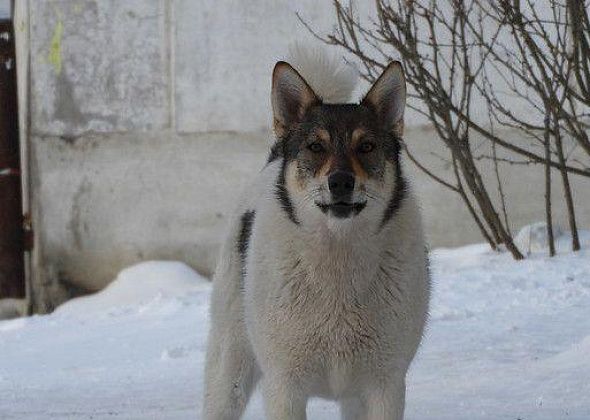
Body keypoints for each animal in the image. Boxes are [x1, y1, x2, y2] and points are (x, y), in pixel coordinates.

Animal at [202, 46, 430, 420]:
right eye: (315, 147)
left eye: (366, 147)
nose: (340, 182)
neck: (338, 253)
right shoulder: (284, 386)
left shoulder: (384, 386)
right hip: (230, 365)